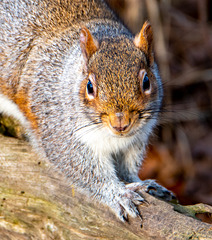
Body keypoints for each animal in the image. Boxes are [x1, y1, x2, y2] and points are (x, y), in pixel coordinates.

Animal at [0, 0, 175, 221]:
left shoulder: (136, 139)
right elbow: (83, 170)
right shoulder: (58, 130)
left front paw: (143, 183)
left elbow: (128, 167)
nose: (120, 123)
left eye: (146, 82)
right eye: (90, 87)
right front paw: (118, 194)